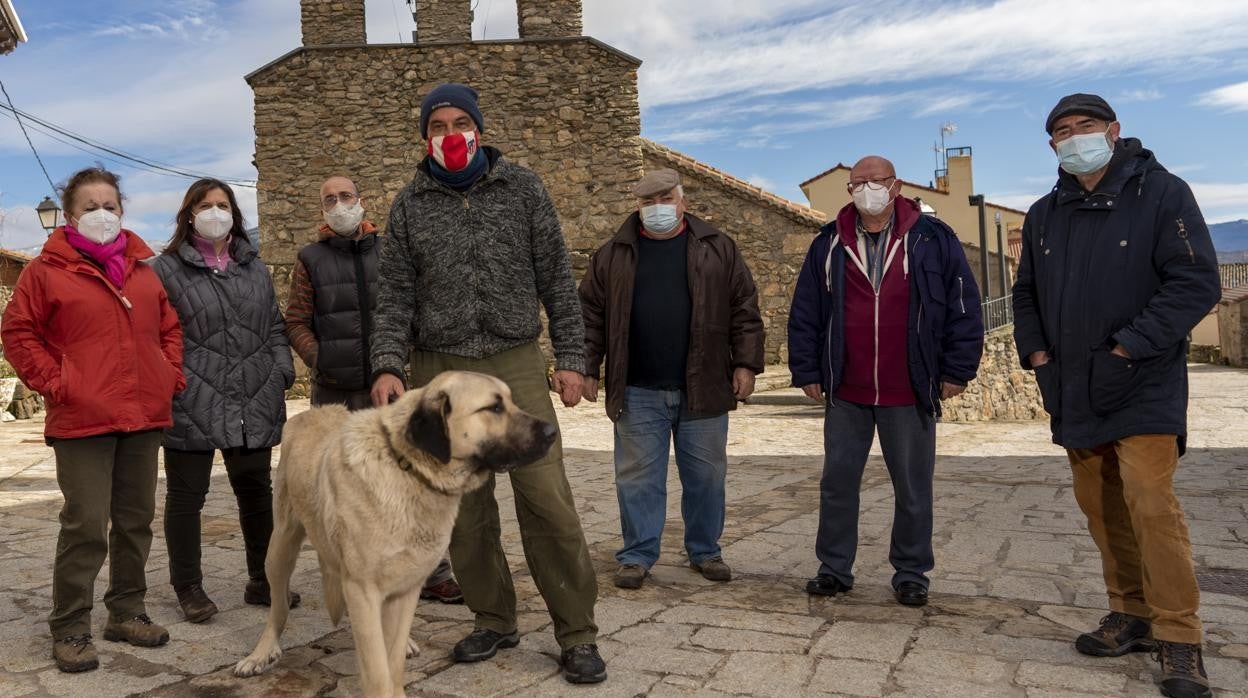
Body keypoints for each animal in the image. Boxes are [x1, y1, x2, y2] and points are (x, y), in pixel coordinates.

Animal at [234, 372, 556, 694]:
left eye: (511, 401)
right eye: (494, 408)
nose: (552, 431)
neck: (408, 471)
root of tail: (311, 413)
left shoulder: (406, 588)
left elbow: (393, 660)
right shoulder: (363, 588)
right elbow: (377, 669)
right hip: (280, 550)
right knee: (279, 608)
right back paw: (261, 654)